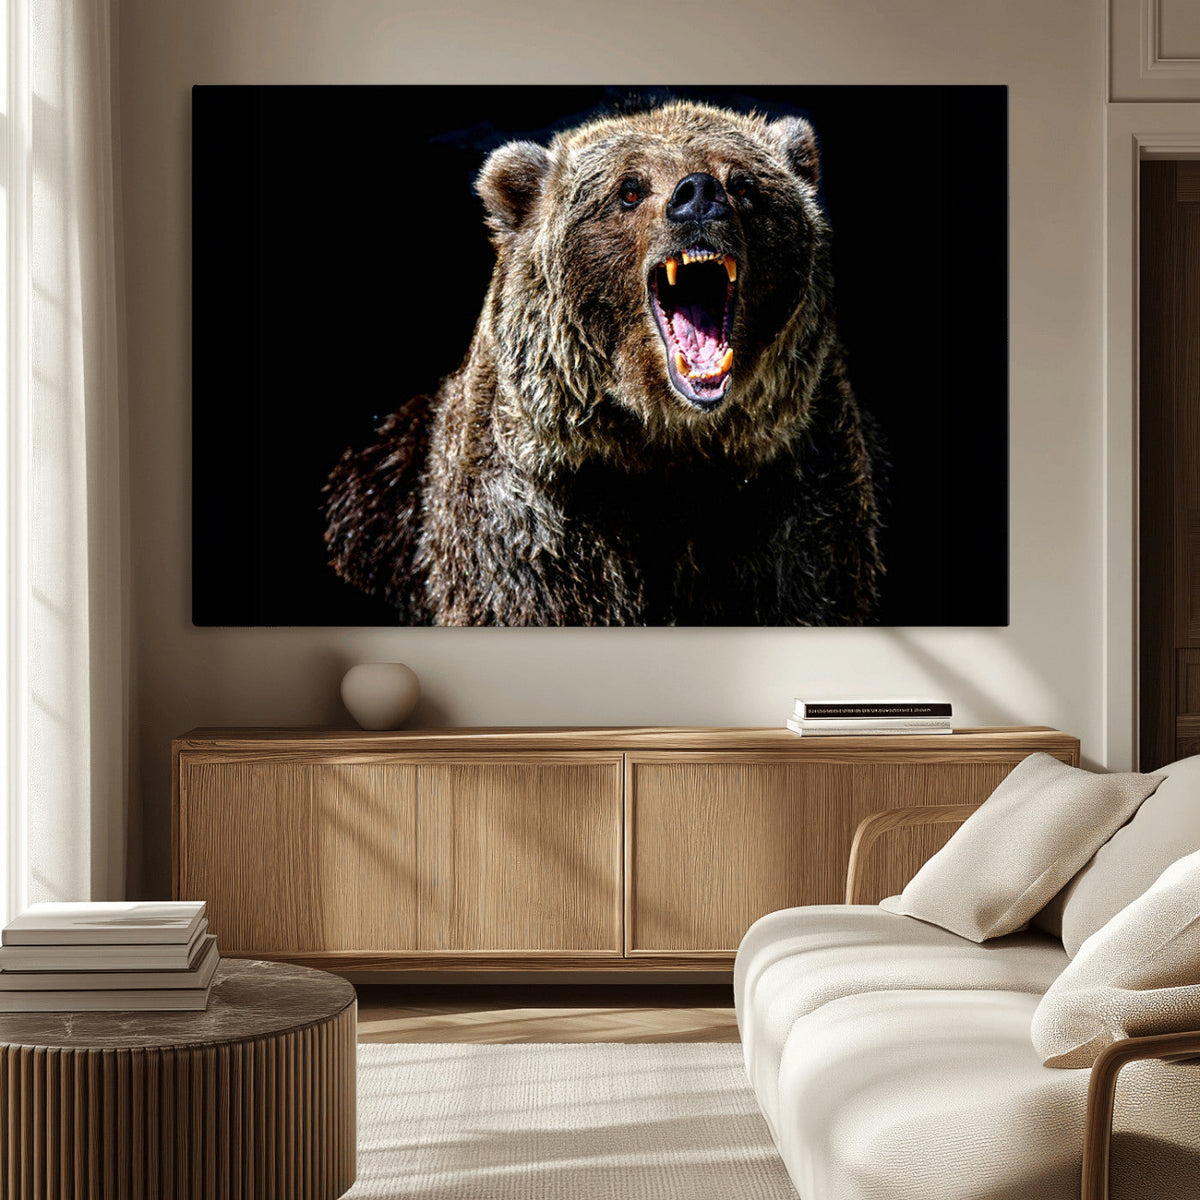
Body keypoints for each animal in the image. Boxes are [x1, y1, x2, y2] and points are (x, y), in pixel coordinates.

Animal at [323, 100, 883, 626]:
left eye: (743, 183)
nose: (699, 195)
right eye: (629, 190)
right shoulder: (534, 524)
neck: (665, 446)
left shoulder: (790, 501)